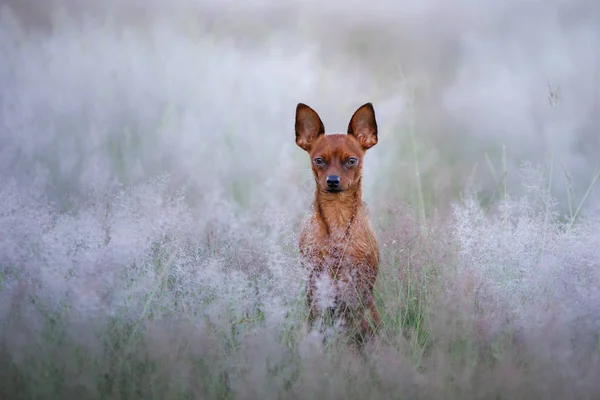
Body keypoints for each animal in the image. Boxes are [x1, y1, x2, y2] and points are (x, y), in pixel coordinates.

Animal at [296, 101, 384, 346]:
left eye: (351, 160)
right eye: (319, 160)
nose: (333, 181)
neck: (337, 216)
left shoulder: (361, 282)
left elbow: (357, 321)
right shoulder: (315, 280)